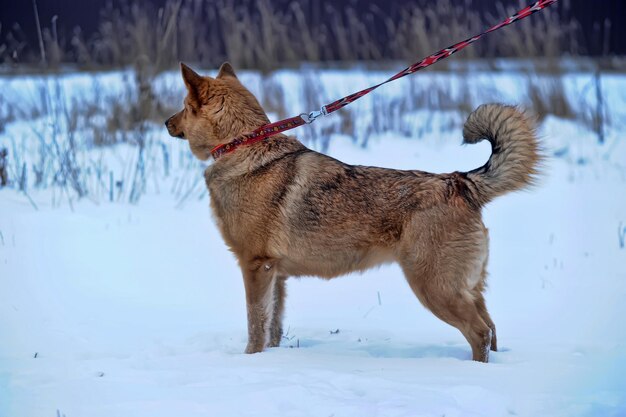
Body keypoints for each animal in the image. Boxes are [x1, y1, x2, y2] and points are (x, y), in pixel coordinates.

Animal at [163, 61, 540, 360]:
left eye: (183, 106)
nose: (166, 122)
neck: (242, 147)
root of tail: (460, 181)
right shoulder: (277, 273)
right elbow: (274, 326)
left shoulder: (256, 266)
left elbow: (256, 325)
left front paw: (250, 361)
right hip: (464, 288)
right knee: (492, 329)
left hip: (435, 288)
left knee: (480, 332)